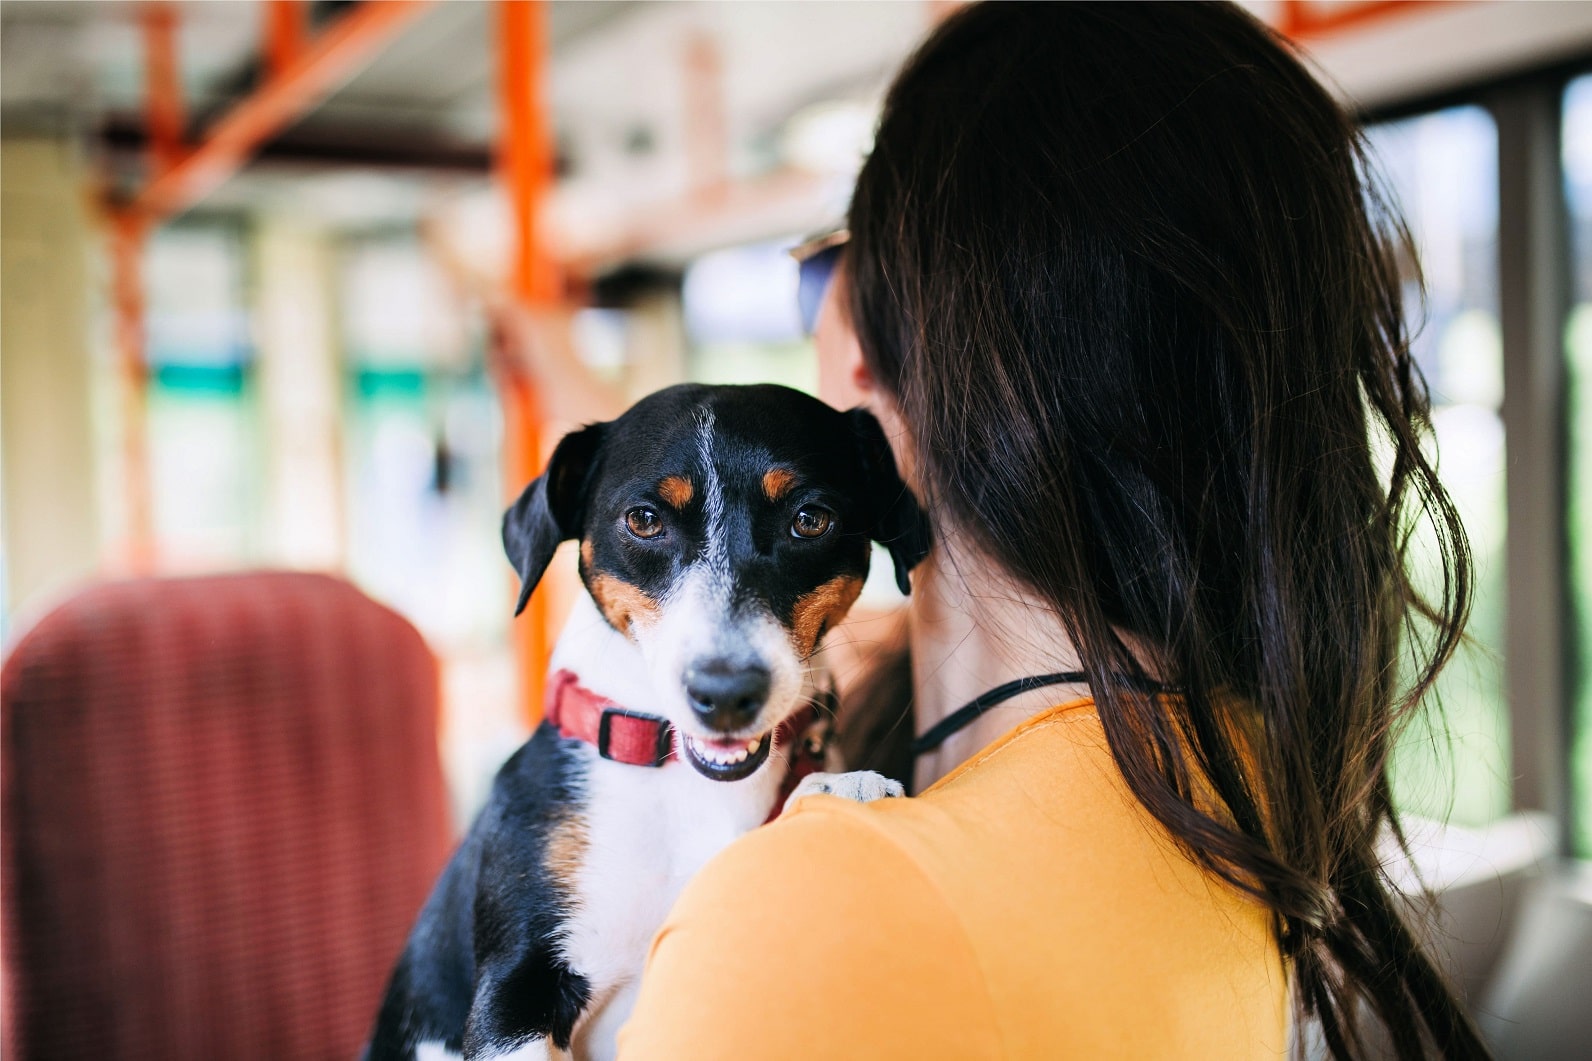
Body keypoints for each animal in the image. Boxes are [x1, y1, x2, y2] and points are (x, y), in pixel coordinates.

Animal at [366, 382, 929, 1057]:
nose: (725, 691)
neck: (677, 782)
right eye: (644, 520)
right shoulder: (514, 993)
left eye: (810, 520)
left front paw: (837, 785)